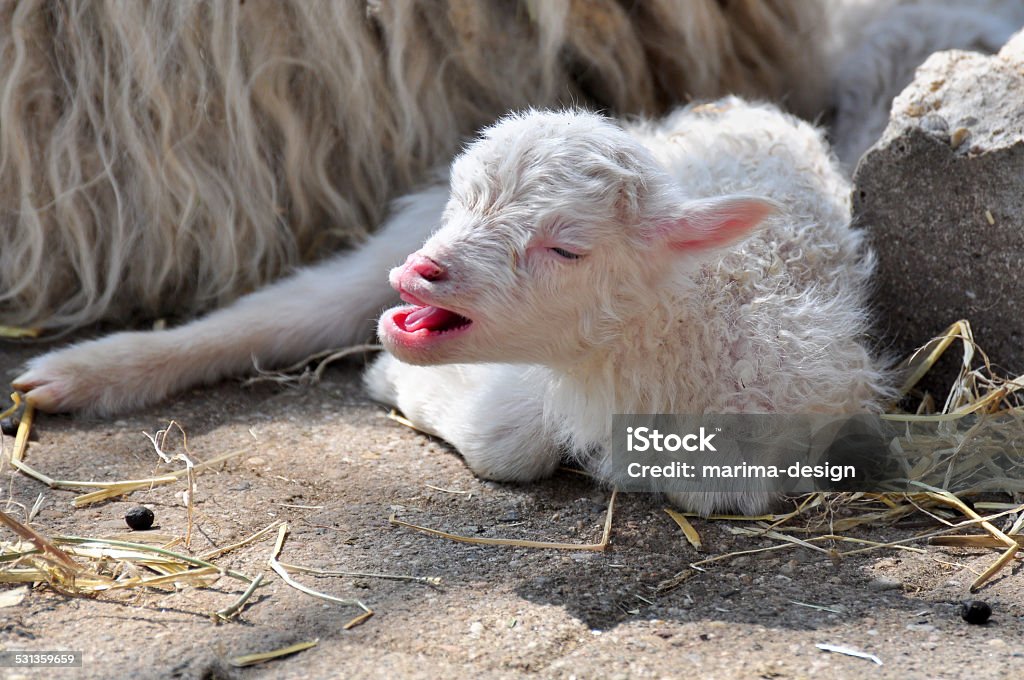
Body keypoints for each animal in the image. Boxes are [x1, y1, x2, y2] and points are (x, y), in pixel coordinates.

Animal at [9, 98, 888, 512]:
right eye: (468, 199)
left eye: (568, 249)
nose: (424, 275)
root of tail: (731, 107)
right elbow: (507, 439)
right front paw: (393, 384)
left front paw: (394, 383)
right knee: (300, 305)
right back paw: (74, 374)